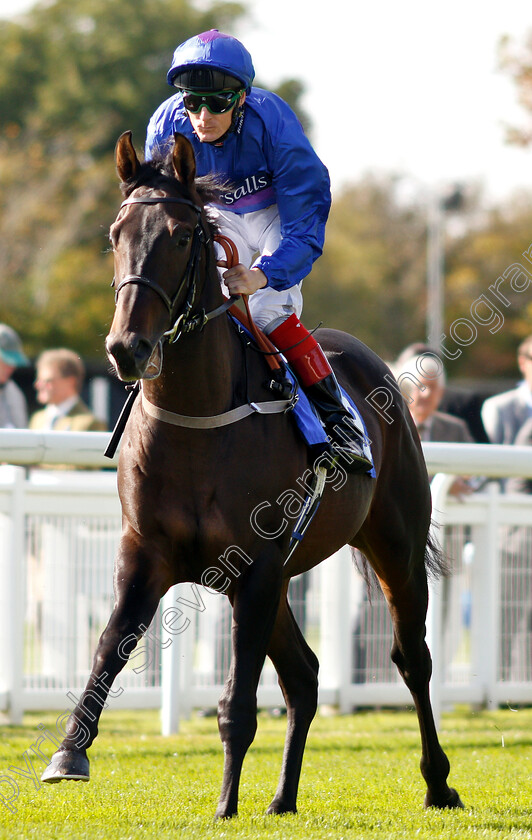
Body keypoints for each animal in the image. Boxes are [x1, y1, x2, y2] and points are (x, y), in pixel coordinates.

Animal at [40, 131, 462, 820]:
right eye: (115, 233)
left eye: (182, 235)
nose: (126, 347)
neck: (198, 421)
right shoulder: (148, 555)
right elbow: (110, 644)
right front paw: (68, 753)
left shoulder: (258, 567)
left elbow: (236, 702)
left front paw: (224, 804)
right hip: (283, 579)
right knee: (306, 676)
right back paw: (283, 798)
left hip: (391, 544)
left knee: (411, 658)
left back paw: (437, 781)